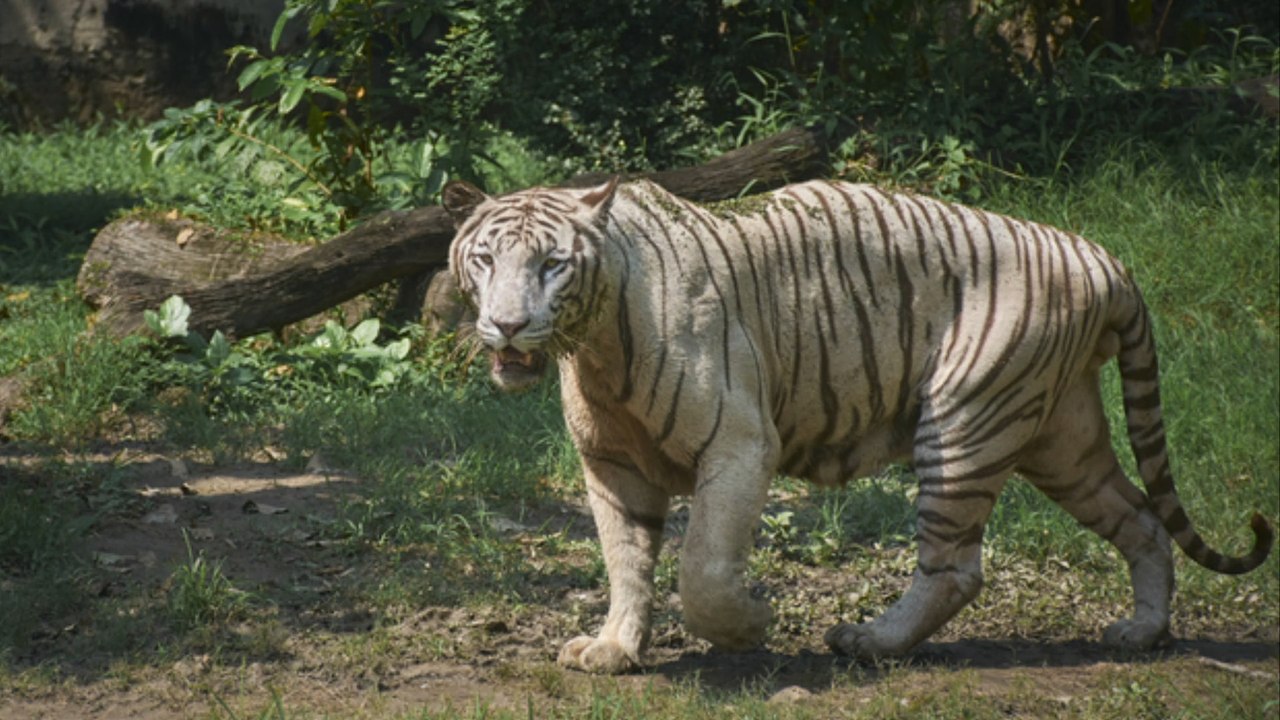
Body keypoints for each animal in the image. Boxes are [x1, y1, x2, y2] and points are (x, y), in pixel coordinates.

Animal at [442, 176, 1273, 674]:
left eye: (552, 264)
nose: (507, 326)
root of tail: (1103, 258)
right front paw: (613, 648)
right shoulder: (611, 468)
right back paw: (1142, 633)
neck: (595, 348)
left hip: (963, 420)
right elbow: (626, 563)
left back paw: (870, 640)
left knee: (956, 567)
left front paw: (750, 625)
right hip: (1061, 438)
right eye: (484, 260)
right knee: (1142, 520)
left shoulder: (740, 444)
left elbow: (701, 567)